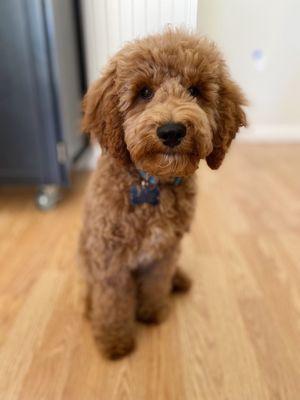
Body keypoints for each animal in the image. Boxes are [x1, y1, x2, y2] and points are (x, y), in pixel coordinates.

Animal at [78, 28, 247, 360]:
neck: (152, 184)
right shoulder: (109, 257)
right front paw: (115, 340)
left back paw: (178, 280)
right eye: (144, 92)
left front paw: (153, 312)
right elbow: (112, 300)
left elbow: (156, 284)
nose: (171, 131)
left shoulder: (164, 250)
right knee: (92, 291)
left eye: (195, 90)